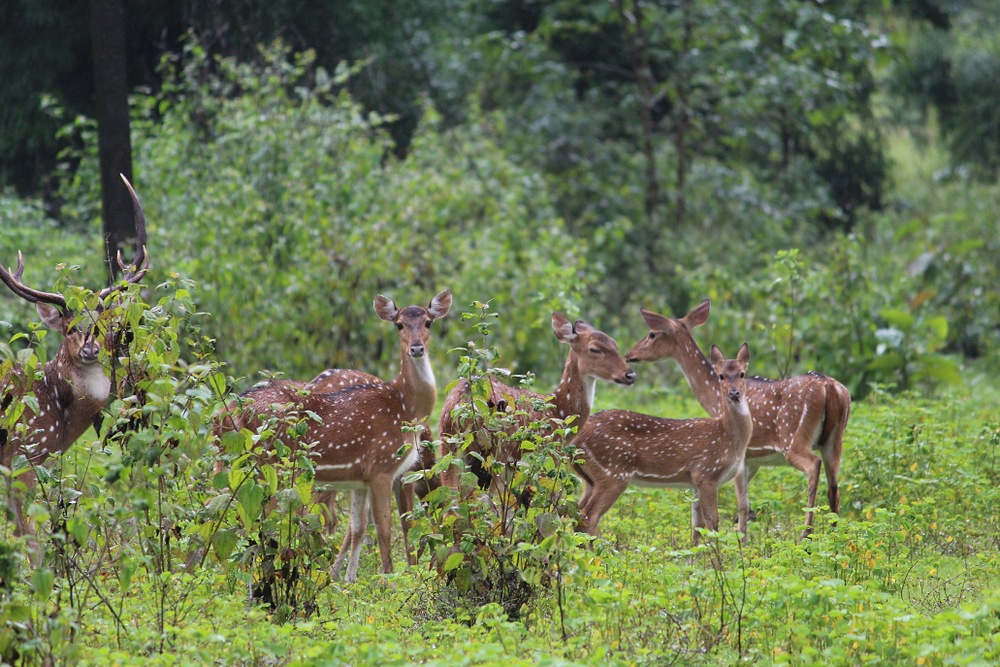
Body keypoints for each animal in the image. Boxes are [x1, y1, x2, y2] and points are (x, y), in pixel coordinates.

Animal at [222, 290, 454, 580]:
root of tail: (236, 409)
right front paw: (391, 580)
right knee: (266, 521)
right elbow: (386, 529)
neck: (404, 407)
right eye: (399, 324)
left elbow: (357, 528)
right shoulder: (383, 467)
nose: (417, 348)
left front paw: (347, 581)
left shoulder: (361, 478)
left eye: (428, 323)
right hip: (274, 465)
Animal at [438, 314, 632, 496]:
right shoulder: (547, 455)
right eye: (594, 349)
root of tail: (461, 407)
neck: (560, 410)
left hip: (447, 447)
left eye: (616, 345)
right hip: (495, 454)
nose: (630, 375)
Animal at [572, 342, 752, 544]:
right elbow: (713, 524)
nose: (734, 393)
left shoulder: (696, 481)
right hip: (613, 472)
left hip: (590, 478)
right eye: (721, 375)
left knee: (576, 513)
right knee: (590, 515)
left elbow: (697, 525)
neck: (729, 435)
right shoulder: (706, 472)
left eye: (742, 373)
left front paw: (694, 553)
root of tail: (577, 437)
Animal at [624, 302, 852, 536]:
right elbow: (745, 504)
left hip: (792, 437)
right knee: (834, 486)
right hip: (835, 439)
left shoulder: (740, 454)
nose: (628, 354)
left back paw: (806, 532)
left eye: (652, 333)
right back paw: (835, 533)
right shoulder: (752, 459)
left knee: (813, 466)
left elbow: (741, 504)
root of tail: (830, 387)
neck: (713, 397)